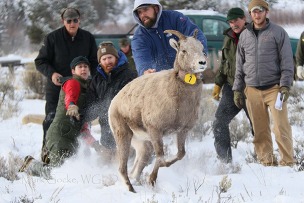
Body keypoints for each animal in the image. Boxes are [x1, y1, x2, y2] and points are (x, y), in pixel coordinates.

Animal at [108, 29, 207, 192]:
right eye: (184, 50)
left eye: (201, 49)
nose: (202, 63)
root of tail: (114, 102)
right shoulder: (155, 130)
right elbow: (161, 157)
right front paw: (152, 179)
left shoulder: (182, 130)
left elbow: (180, 154)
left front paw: (152, 179)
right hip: (123, 135)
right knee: (122, 168)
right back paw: (131, 189)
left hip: (142, 144)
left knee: (137, 165)